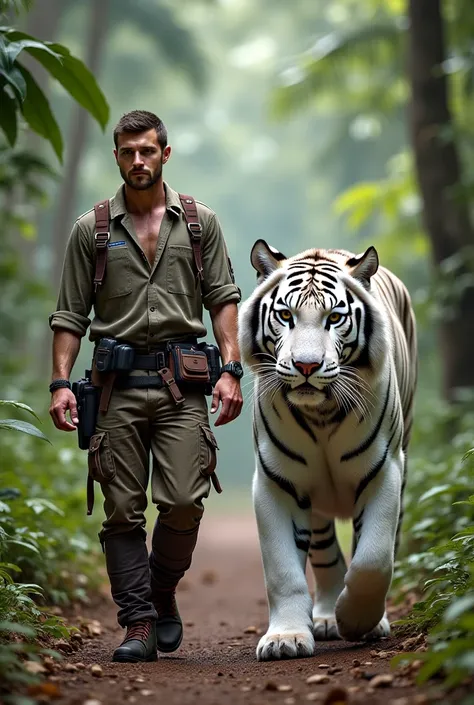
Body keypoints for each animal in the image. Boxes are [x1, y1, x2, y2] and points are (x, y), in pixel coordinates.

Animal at [239, 241, 416, 660]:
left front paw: (358, 620)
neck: (320, 414)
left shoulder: (384, 472)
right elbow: (283, 571)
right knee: (323, 552)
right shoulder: (276, 483)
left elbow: (373, 559)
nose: (306, 365)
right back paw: (323, 617)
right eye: (285, 315)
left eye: (334, 317)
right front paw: (285, 638)